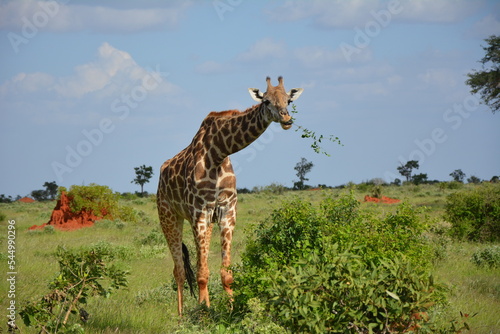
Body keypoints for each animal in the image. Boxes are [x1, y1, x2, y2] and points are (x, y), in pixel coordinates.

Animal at [158, 75, 302, 316]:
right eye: (266, 101)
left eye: (288, 100)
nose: (287, 119)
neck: (218, 152)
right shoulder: (199, 212)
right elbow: (201, 274)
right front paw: (203, 314)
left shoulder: (227, 211)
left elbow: (225, 274)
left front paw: (231, 310)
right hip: (169, 216)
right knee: (179, 270)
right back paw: (181, 315)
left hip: (202, 221)